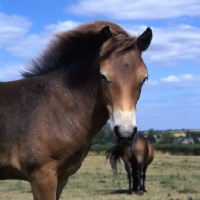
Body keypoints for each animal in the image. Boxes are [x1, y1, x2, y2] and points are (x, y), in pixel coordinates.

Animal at [0, 19, 152, 198]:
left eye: (144, 78)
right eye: (103, 76)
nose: (125, 133)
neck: (55, 109)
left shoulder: (61, 177)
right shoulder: (41, 176)